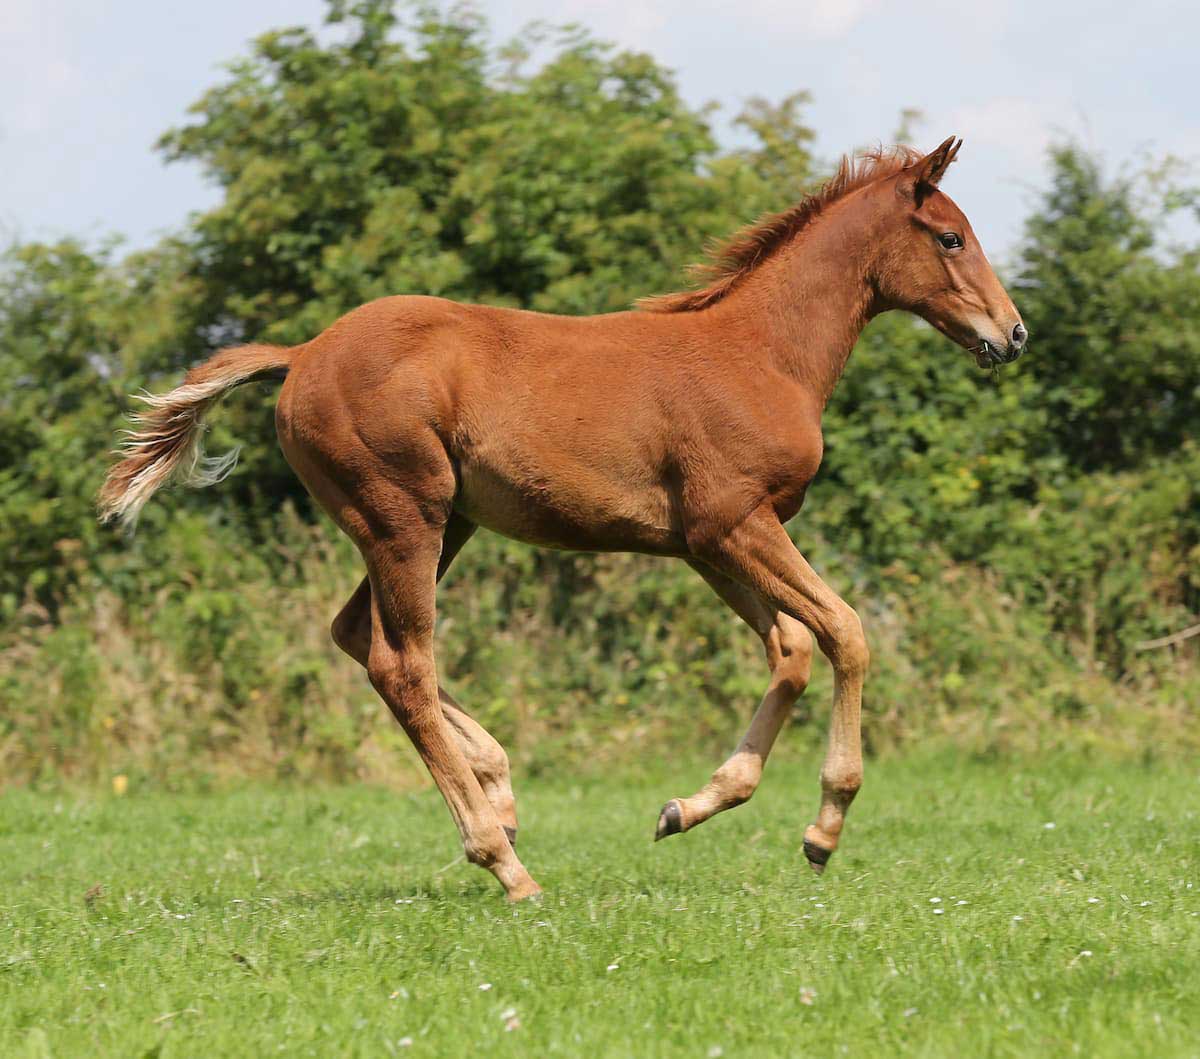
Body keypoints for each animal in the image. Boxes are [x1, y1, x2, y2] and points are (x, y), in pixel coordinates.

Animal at [99, 137, 1025, 901]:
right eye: (950, 237)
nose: (1013, 334)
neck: (761, 353)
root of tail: (301, 355)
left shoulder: (706, 544)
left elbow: (792, 649)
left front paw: (688, 806)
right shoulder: (737, 522)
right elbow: (846, 630)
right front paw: (824, 828)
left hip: (442, 523)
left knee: (358, 636)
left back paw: (501, 794)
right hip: (404, 516)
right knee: (402, 664)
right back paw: (503, 860)